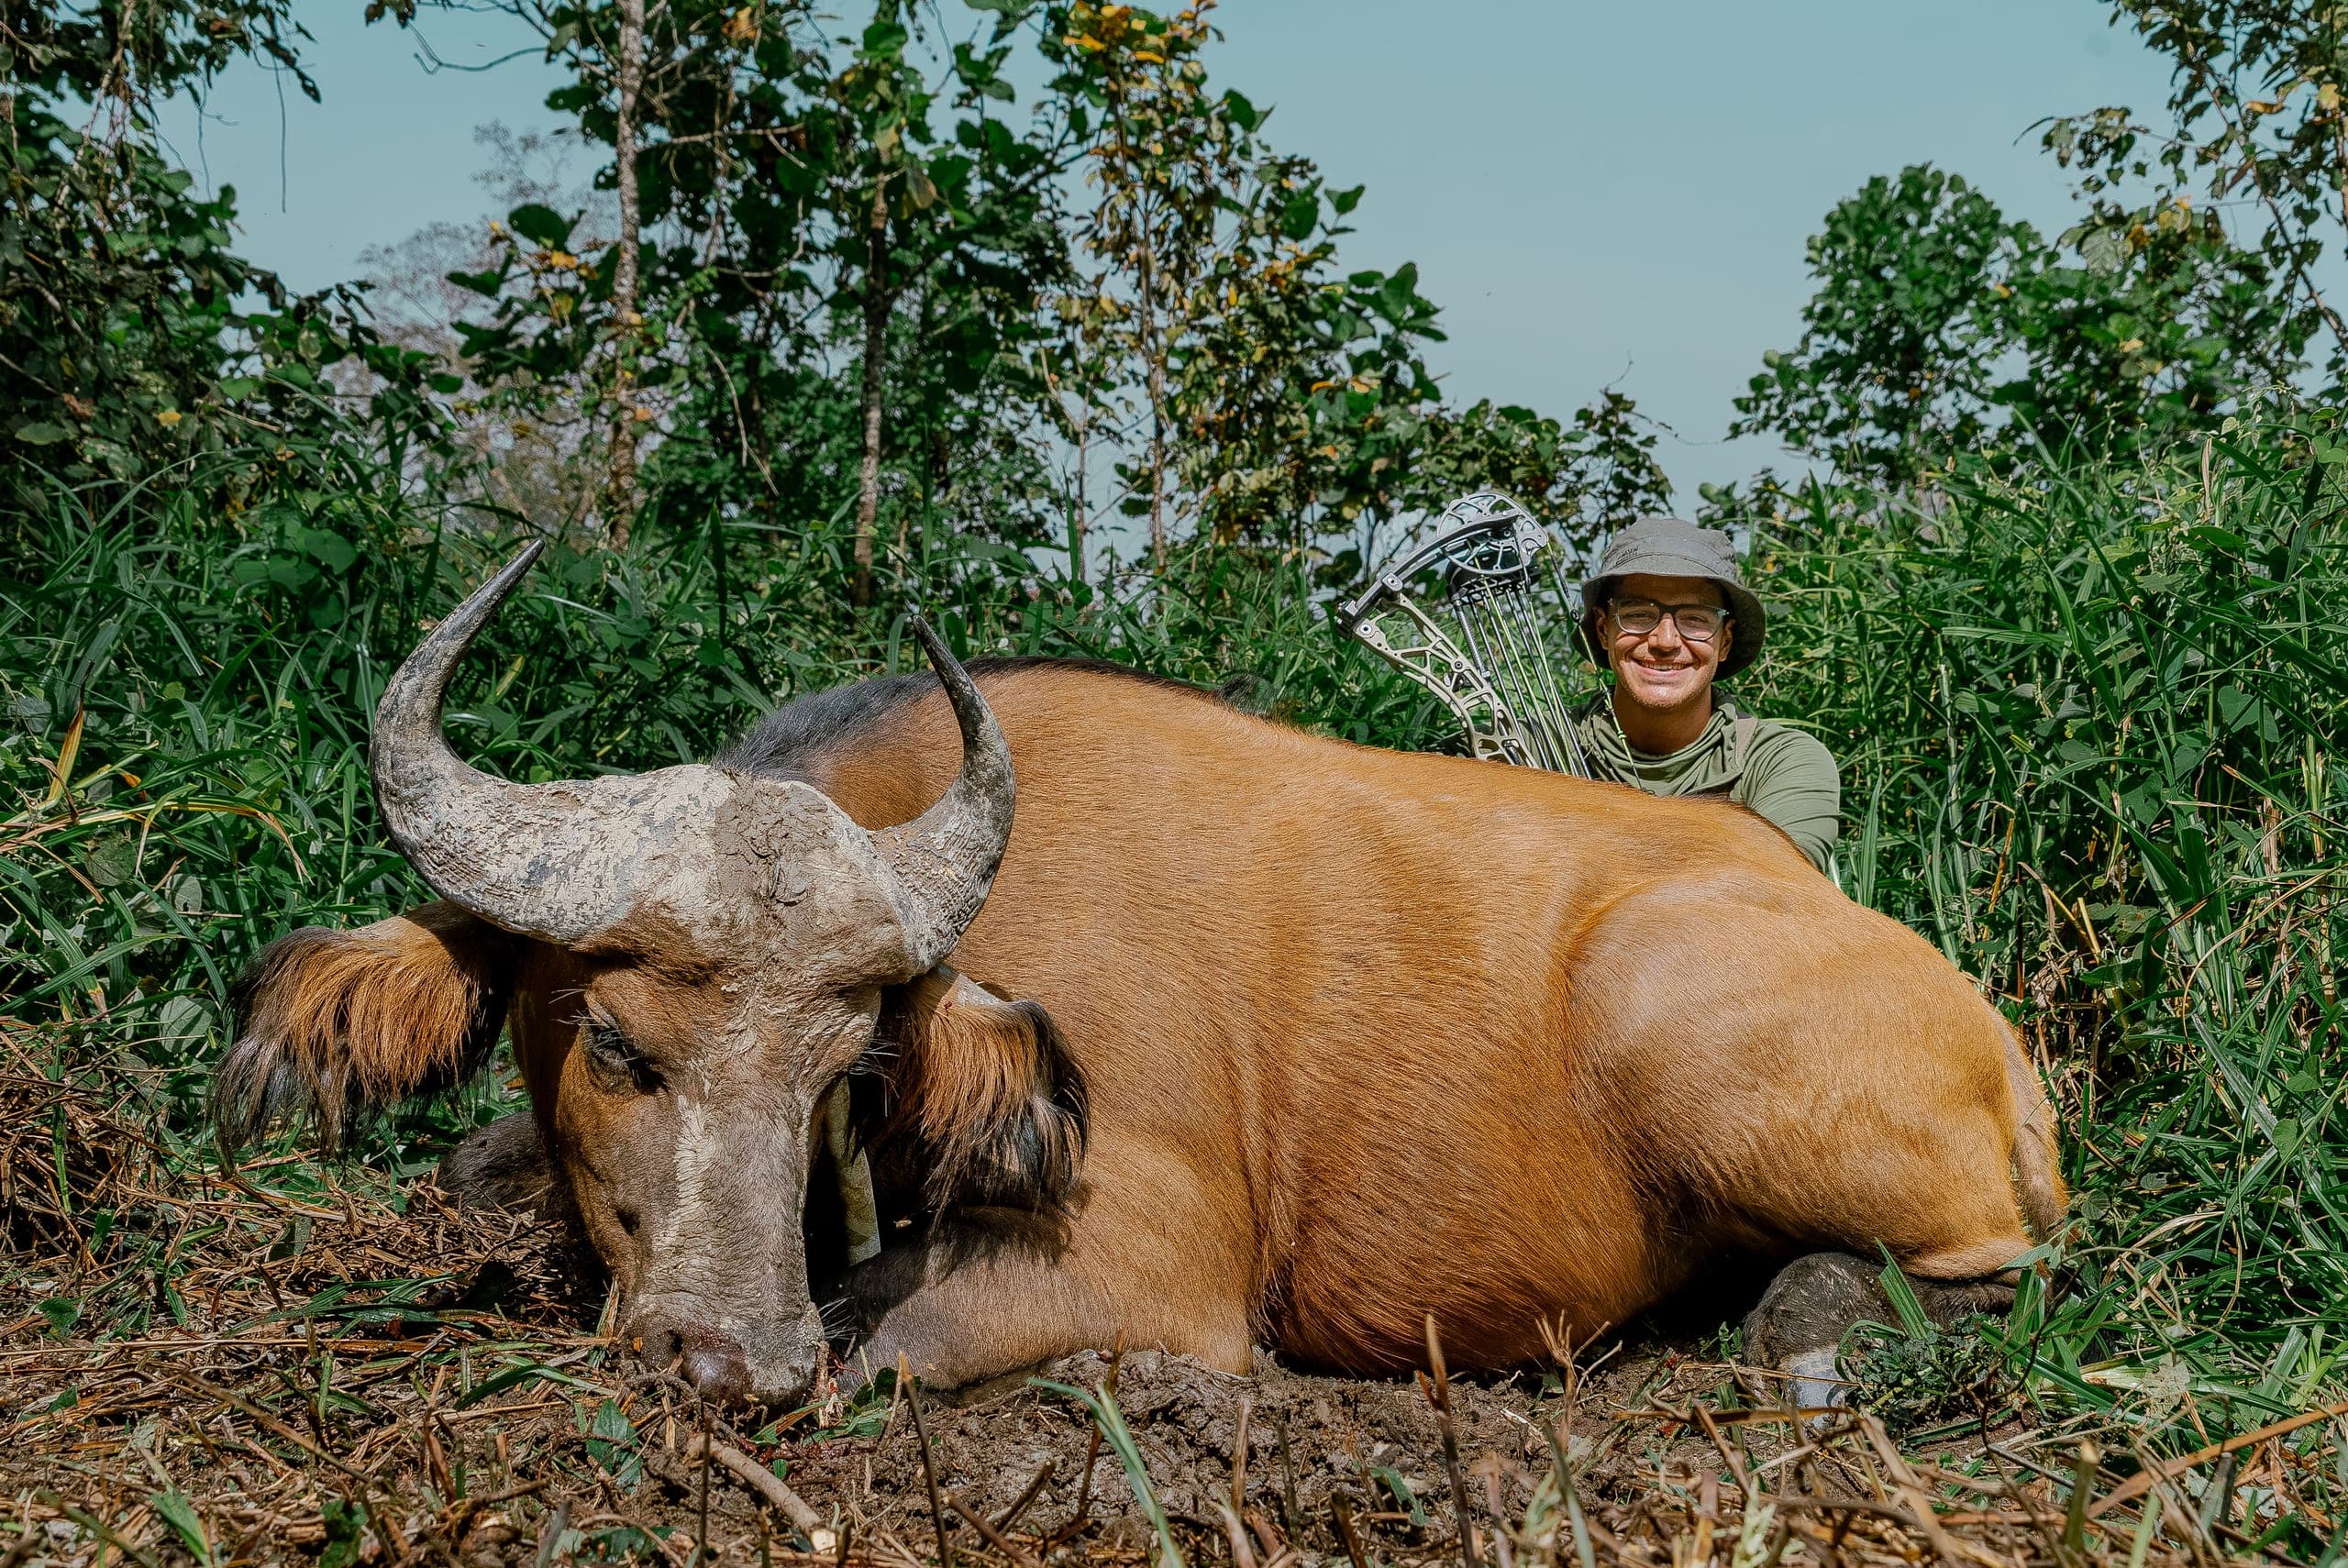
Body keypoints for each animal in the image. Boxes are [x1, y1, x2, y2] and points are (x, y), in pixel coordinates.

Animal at [219, 545, 2063, 1407]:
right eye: (611, 1041)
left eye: (840, 1069)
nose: (734, 1359)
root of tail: (2000, 1055)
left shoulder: (1141, 1262)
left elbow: (895, 1322)